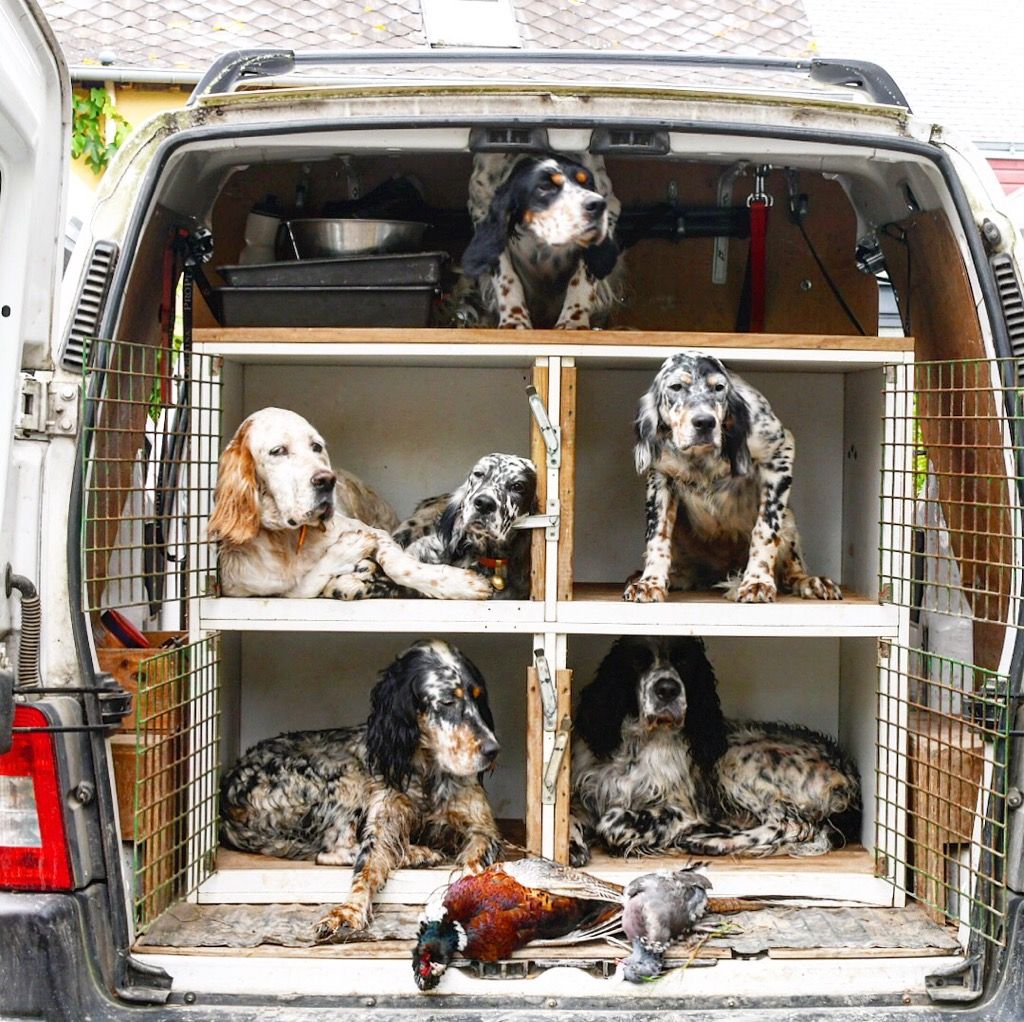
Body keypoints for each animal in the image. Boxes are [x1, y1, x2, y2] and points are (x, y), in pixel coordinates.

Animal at [206, 405, 491, 598]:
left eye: (316, 446)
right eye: (278, 451)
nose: (326, 480)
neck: (287, 539)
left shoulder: (376, 533)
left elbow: (400, 566)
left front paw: (458, 584)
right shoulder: (243, 588)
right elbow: (300, 587)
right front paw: (347, 552)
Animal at [219, 643, 503, 938]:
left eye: (479, 699)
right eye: (448, 701)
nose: (493, 750)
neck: (426, 769)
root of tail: (227, 796)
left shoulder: (482, 828)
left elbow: (472, 866)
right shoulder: (384, 817)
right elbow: (367, 865)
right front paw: (348, 911)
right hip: (348, 776)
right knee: (332, 850)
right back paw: (417, 853)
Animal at [573, 639, 860, 864]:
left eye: (685, 661)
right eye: (637, 661)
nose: (667, 690)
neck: (639, 743)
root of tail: (848, 775)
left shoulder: (682, 808)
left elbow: (613, 822)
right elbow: (571, 814)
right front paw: (572, 845)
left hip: (737, 759)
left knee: (790, 824)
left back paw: (711, 841)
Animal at [618, 354, 843, 602]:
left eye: (719, 387)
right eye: (676, 387)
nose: (705, 422)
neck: (700, 457)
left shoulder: (779, 452)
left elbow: (765, 530)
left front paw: (757, 582)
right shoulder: (660, 476)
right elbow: (657, 536)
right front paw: (649, 583)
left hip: (789, 520)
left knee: (791, 569)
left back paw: (811, 581)